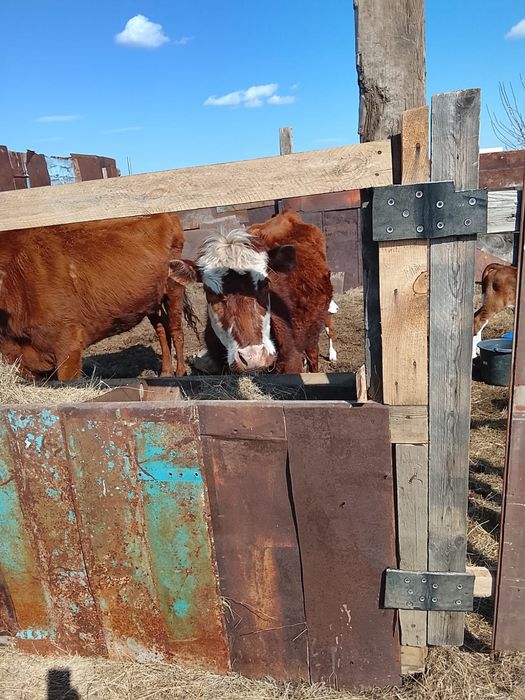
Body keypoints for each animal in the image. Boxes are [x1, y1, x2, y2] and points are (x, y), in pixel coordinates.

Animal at [0, 212, 189, 380]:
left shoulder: (69, 346)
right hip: (152, 300)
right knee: (162, 329)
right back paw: (166, 372)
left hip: (174, 288)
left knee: (176, 330)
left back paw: (180, 373)